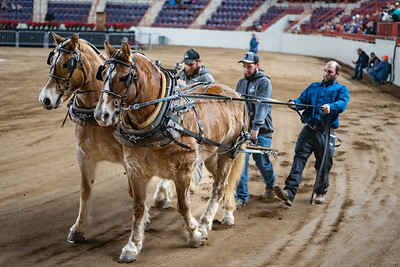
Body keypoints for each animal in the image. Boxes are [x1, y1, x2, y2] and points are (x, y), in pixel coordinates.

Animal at [38, 33, 173, 245]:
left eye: (68, 63)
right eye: (51, 61)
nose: (45, 99)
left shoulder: (129, 159)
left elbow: (134, 193)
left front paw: (144, 222)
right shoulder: (84, 156)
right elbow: (85, 190)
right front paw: (78, 228)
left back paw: (163, 195)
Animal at [94, 42, 247, 264]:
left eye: (123, 77)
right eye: (103, 73)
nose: (101, 115)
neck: (164, 117)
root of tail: (234, 94)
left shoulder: (183, 170)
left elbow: (183, 205)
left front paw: (193, 234)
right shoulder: (135, 170)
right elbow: (138, 208)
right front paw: (132, 246)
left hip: (228, 152)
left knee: (220, 186)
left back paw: (205, 223)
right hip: (211, 156)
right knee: (223, 183)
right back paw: (226, 214)